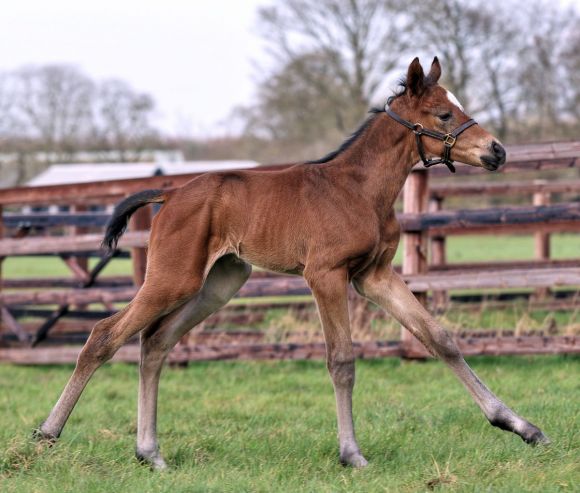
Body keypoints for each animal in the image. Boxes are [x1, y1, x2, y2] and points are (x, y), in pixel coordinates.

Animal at [36, 55, 548, 468]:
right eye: (444, 113)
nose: (497, 151)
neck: (359, 189)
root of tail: (171, 192)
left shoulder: (374, 276)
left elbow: (439, 338)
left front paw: (520, 427)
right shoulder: (325, 275)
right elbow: (341, 360)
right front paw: (352, 453)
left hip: (219, 282)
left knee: (155, 342)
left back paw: (150, 453)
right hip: (172, 278)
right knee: (104, 335)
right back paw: (48, 433)